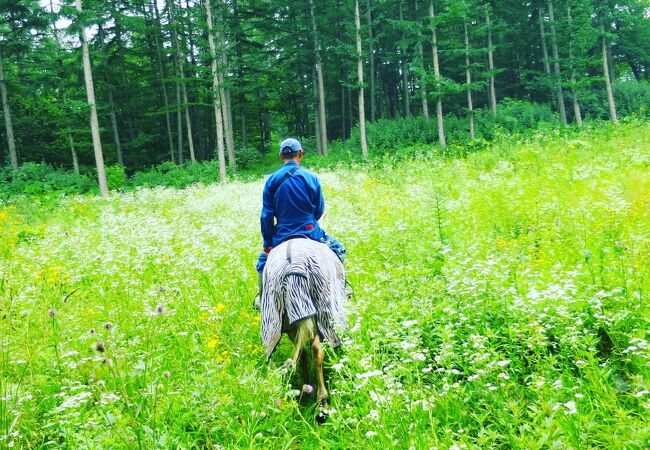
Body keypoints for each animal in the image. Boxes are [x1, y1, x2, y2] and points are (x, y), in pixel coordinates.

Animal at [260, 237, 346, 402]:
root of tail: (293, 266)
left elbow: (302, 354)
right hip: (320, 313)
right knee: (317, 349)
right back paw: (322, 399)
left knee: (304, 352)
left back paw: (308, 389)